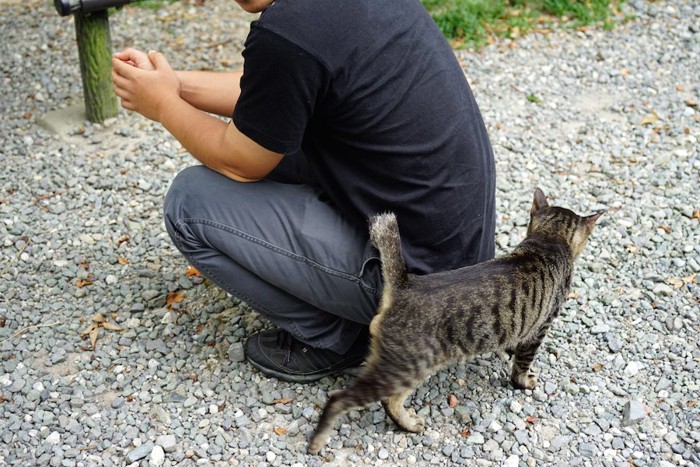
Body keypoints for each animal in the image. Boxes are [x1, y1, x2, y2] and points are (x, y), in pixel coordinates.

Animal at [308, 188, 604, 456]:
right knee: (359, 400)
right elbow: (523, 363)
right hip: (408, 367)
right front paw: (524, 381)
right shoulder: (541, 327)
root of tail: (406, 284)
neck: (548, 240)